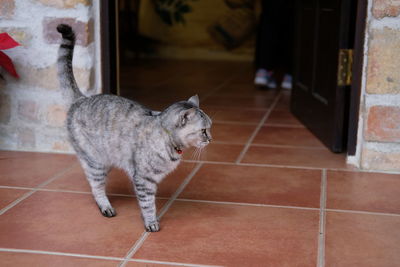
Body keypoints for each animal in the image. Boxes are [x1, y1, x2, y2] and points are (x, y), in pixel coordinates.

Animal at [57, 24, 212, 232]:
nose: (210, 138)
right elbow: (148, 204)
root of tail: (81, 99)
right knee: (96, 187)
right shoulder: (144, 180)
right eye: (204, 130)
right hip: (96, 162)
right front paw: (151, 223)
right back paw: (106, 207)